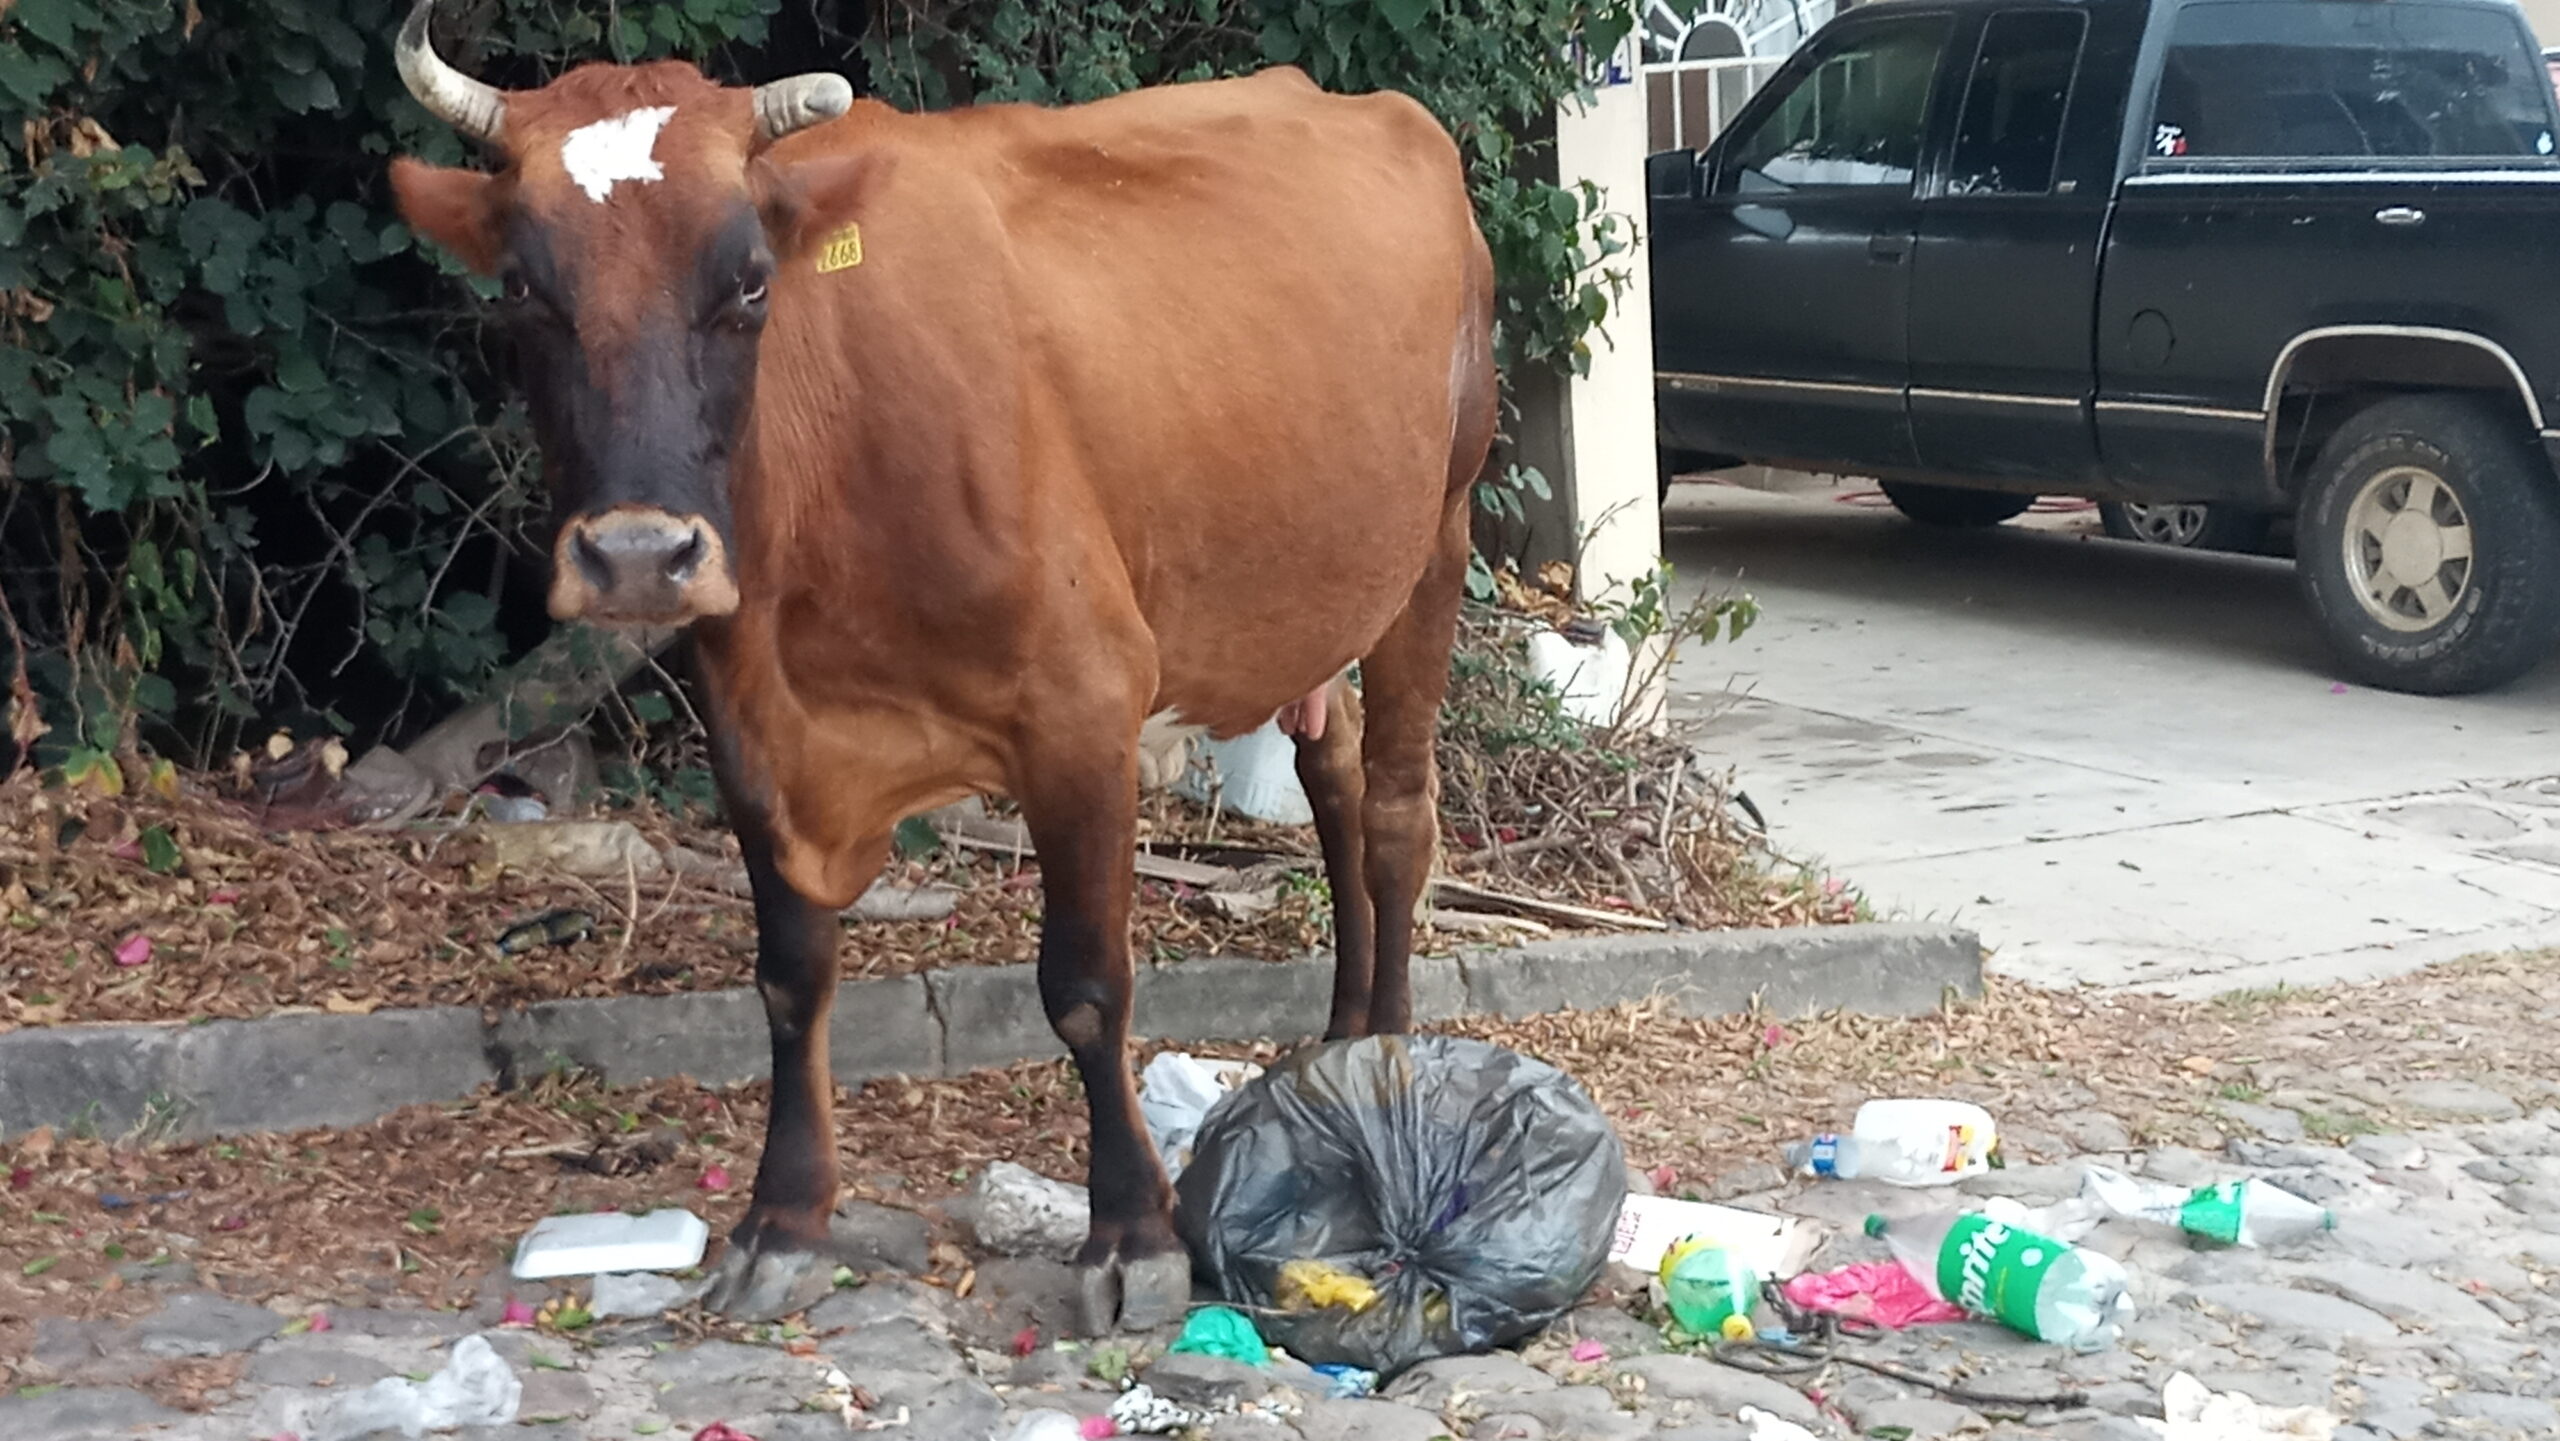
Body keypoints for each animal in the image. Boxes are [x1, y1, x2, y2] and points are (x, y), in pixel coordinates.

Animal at [384, 0, 1495, 1330]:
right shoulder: (750, 729)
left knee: (1394, 815)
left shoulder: (1084, 707)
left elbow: (1086, 984)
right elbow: (789, 977)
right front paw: (781, 1218)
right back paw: (1334, 1045)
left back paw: (1387, 1059)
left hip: (1438, 534)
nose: (640, 556)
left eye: (749, 283)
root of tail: (1366, 108)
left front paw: (1131, 1234)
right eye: (521, 292)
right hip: (1299, 606)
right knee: (1332, 778)